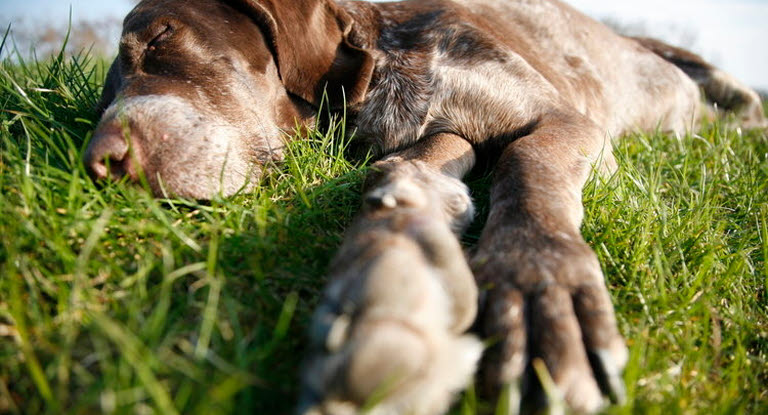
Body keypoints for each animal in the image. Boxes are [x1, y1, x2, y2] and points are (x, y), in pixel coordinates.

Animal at [85, 0, 768, 412]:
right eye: (103, 98)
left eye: (162, 37)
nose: (99, 162)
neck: (369, 74)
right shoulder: (439, 131)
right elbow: (404, 170)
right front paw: (392, 275)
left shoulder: (561, 118)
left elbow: (525, 165)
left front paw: (538, 280)